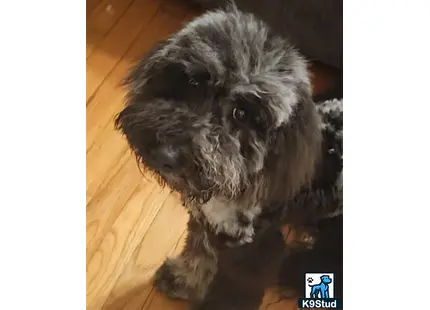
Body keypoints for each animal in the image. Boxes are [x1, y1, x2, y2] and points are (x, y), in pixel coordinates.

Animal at [114, 4, 342, 310]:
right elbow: (199, 253)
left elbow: (230, 291)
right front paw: (185, 281)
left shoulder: (254, 250)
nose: (166, 154)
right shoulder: (207, 223)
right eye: (194, 82)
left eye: (242, 113)